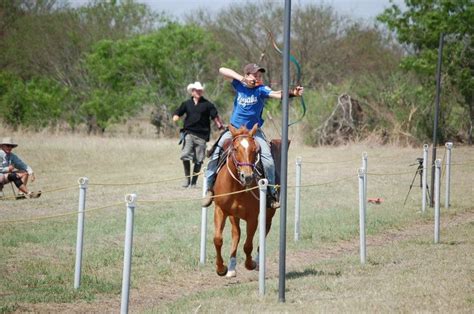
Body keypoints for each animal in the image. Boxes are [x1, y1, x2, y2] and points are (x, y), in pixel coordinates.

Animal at [212, 124, 276, 276]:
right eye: (235, 149)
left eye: (255, 150)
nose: (247, 176)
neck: (237, 187)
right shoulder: (220, 210)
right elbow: (218, 239)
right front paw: (221, 268)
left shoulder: (252, 217)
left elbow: (248, 245)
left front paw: (250, 264)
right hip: (233, 216)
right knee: (236, 233)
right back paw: (231, 267)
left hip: (269, 213)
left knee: (265, 230)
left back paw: (258, 262)